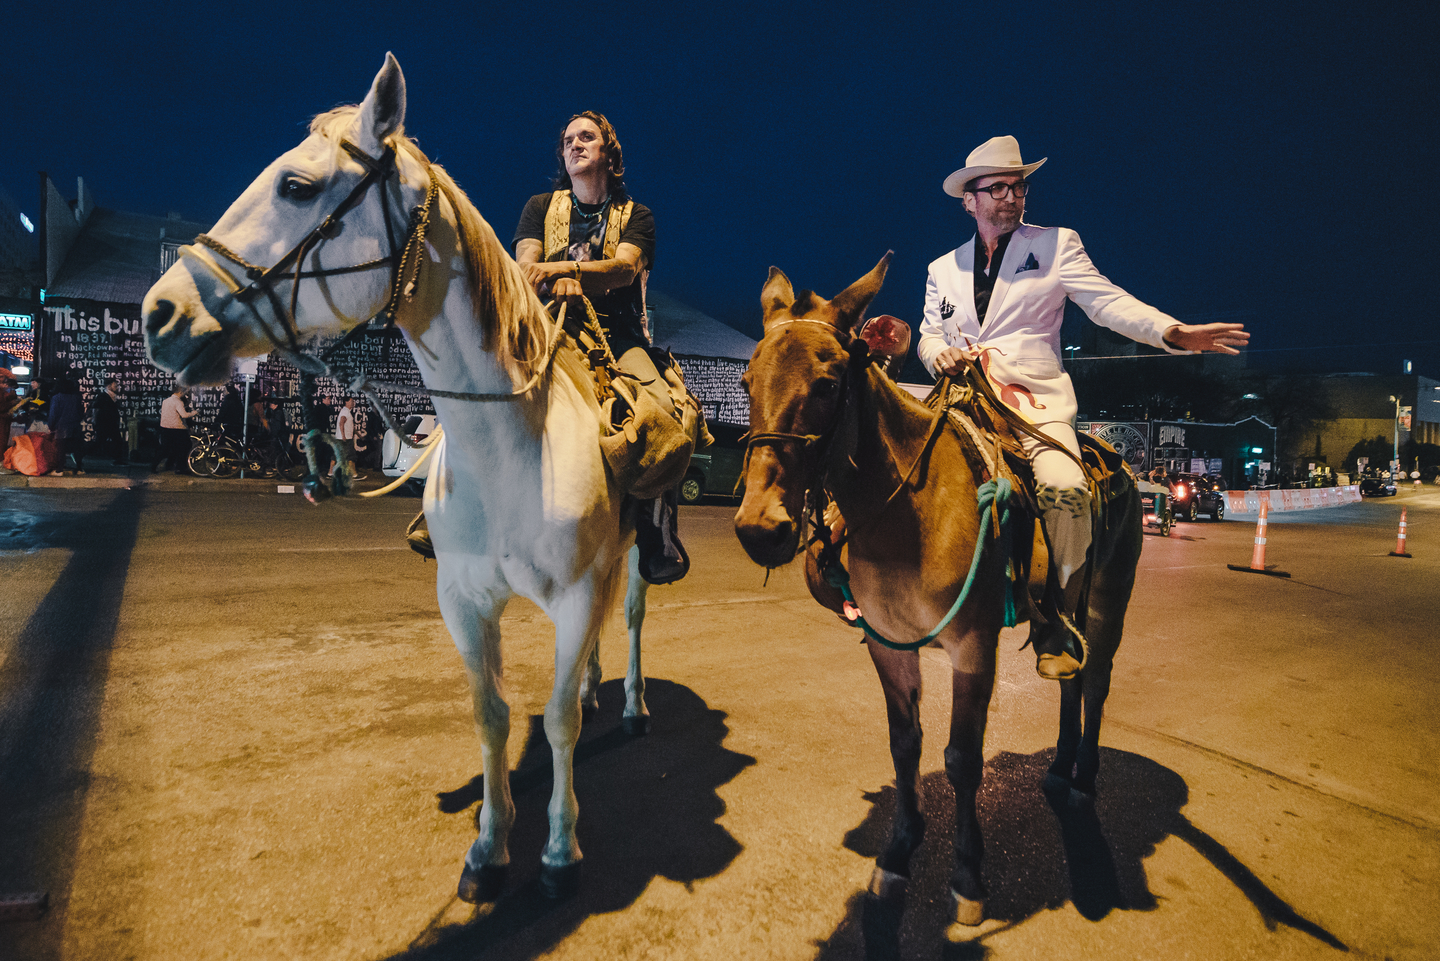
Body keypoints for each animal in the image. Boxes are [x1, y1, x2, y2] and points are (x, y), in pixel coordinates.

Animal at [141, 52, 653, 904]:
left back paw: (637, 702)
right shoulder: (463, 601)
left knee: (637, 616)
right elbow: (493, 714)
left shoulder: (578, 593)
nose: (159, 314)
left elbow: (556, 721)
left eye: (296, 186)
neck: (511, 453)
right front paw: (489, 846)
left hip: (641, 554)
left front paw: (558, 850)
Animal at [737, 253, 1140, 922]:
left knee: (1097, 682)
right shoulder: (888, 646)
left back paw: (1083, 776)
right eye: (745, 382)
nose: (759, 529)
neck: (910, 514)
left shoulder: (973, 648)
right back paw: (1059, 765)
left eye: (828, 385)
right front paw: (900, 850)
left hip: (1110, 601)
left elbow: (962, 758)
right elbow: (906, 746)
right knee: (1071, 679)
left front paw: (968, 872)